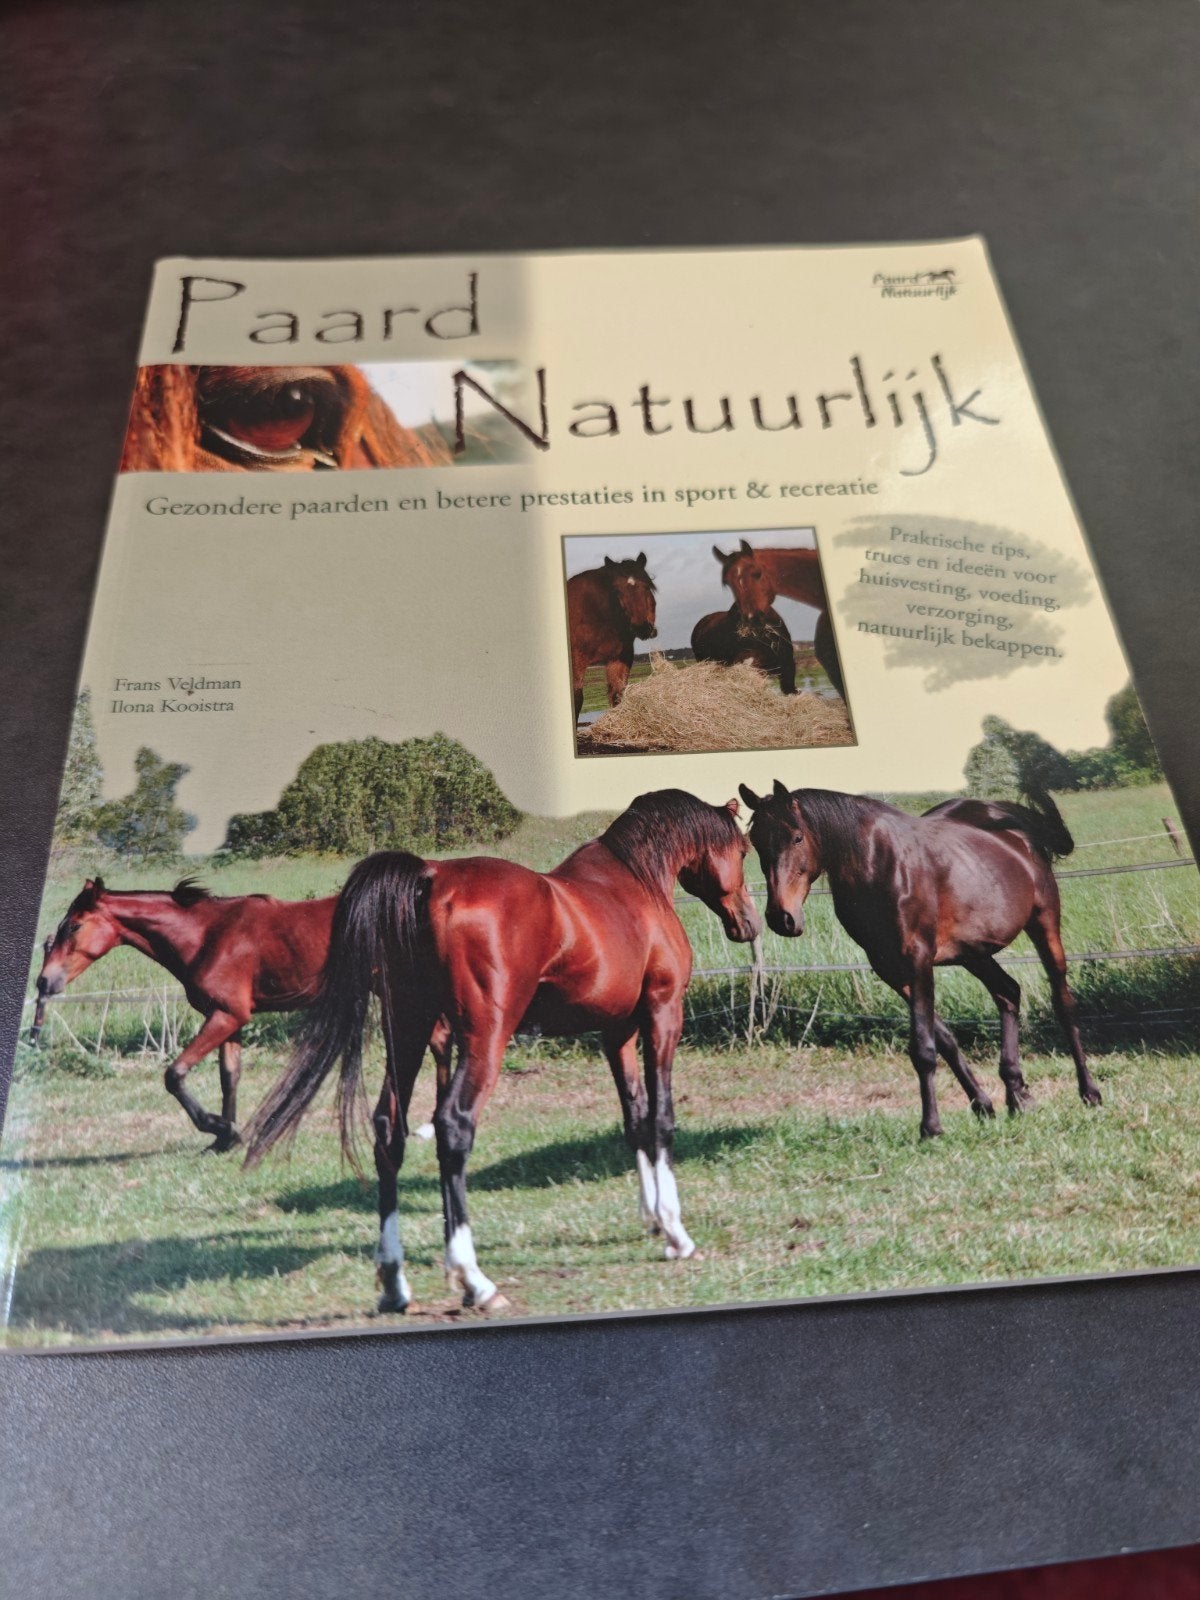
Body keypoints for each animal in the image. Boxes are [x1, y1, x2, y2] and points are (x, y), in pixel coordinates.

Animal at [33, 878, 337, 1151]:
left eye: (74, 926)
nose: (44, 982)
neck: (208, 935)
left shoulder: (226, 1016)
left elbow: (175, 1075)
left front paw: (221, 1127)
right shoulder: (230, 1019)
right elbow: (229, 1078)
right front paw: (224, 1140)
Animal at [244, 789, 760, 1314]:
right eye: (743, 850)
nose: (749, 923)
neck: (637, 885)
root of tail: (430, 879)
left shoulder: (616, 1032)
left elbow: (633, 1119)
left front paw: (653, 1218)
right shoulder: (662, 1015)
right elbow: (660, 1119)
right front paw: (675, 1233)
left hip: (408, 1032)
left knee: (389, 1131)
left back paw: (394, 1282)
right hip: (483, 1040)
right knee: (453, 1127)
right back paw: (474, 1280)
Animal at [567, 553, 658, 721]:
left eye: (647, 586)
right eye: (617, 591)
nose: (642, 628)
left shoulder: (619, 659)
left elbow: (617, 696)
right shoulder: (576, 662)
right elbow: (577, 699)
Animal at [738, 780, 1102, 1139]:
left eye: (797, 837)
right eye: (754, 842)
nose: (781, 918)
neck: (876, 862)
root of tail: (1014, 822)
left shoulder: (918, 960)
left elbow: (923, 1049)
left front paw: (931, 1127)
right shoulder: (890, 968)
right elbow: (944, 1040)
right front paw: (982, 1104)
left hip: (1044, 924)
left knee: (1063, 1004)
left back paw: (1089, 1092)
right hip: (974, 953)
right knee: (1008, 993)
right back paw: (1018, 1095)